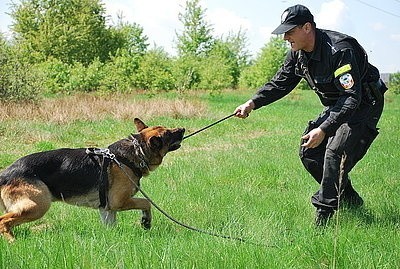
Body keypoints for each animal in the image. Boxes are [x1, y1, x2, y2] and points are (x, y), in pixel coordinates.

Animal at [0, 117, 184, 241]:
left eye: (167, 128)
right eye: (168, 133)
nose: (182, 128)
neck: (136, 151)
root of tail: (5, 173)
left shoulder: (107, 208)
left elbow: (111, 226)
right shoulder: (119, 201)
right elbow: (146, 203)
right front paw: (146, 222)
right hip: (38, 205)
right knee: (3, 221)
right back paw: (12, 241)